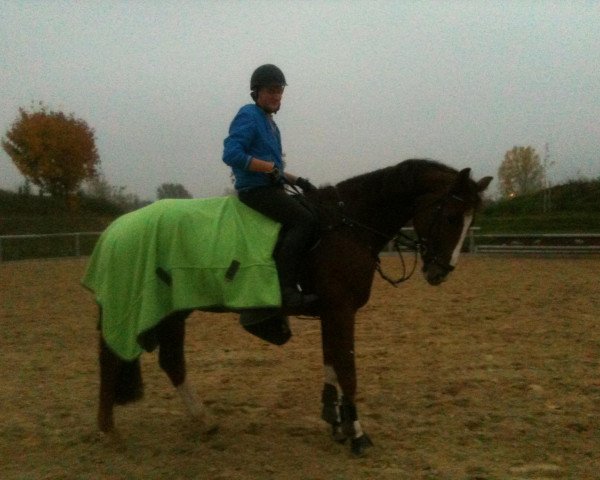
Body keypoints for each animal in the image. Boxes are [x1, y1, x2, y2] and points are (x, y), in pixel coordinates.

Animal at [90, 159, 492, 456]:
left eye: (472, 221)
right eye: (452, 217)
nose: (440, 272)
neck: (345, 226)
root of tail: (116, 229)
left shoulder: (333, 311)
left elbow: (332, 362)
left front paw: (335, 419)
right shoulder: (341, 310)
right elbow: (347, 370)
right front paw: (357, 434)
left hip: (174, 310)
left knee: (172, 361)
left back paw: (203, 420)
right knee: (113, 358)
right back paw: (109, 430)